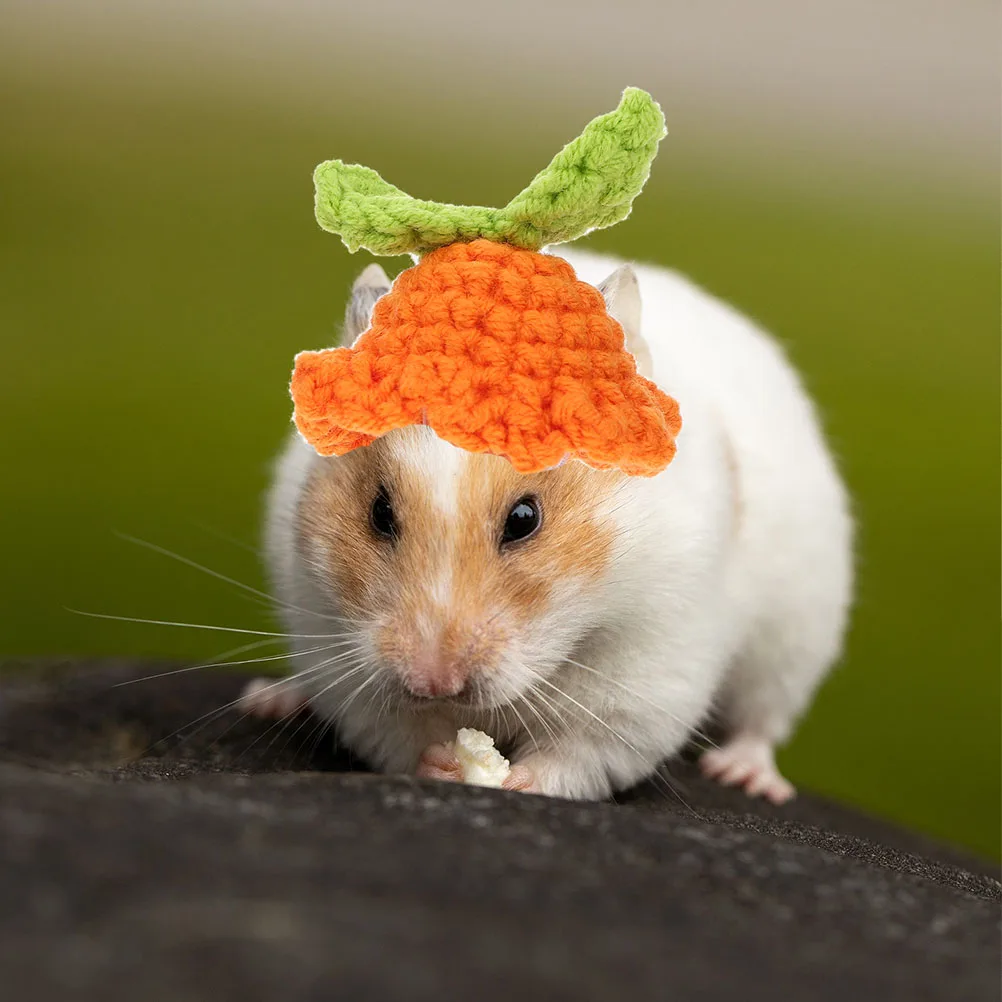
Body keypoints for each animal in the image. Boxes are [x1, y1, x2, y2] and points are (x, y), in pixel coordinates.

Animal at [244, 246, 853, 804]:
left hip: (797, 635)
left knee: (763, 718)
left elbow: (579, 753)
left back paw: (747, 776)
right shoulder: (337, 648)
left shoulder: (646, 676)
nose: (434, 683)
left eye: (524, 519)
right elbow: (396, 733)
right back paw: (271, 699)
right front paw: (444, 762)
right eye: (379, 513)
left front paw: (514, 780)